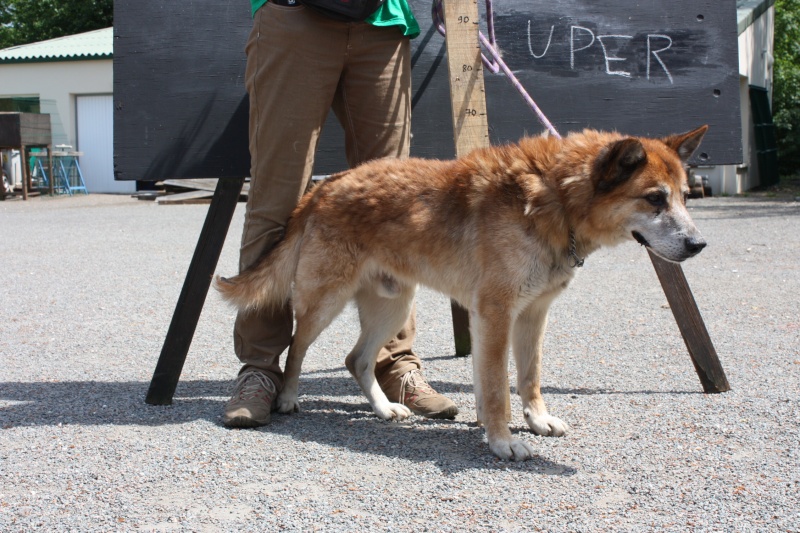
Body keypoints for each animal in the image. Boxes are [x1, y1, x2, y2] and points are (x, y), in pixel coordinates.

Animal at [217, 127, 708, 460]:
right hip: (325, 302)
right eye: (655, 199)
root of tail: (324, 186)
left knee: (356, 360)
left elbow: (528, 379)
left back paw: (384, 409)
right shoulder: (495, 315)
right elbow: (496, 388)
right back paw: (286, 398)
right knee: (295, 346)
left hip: (393, 307)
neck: (553, 197)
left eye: (686, 197)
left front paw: (535, 421)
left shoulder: (531, 316)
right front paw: (502, 441)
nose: (699, 245)